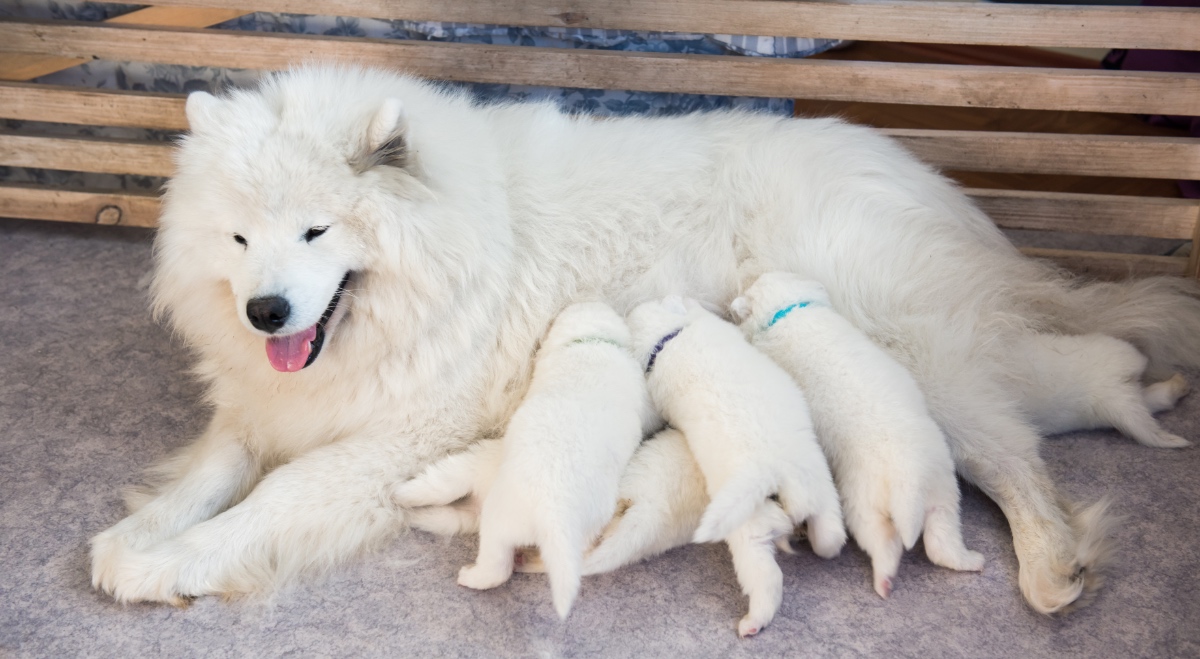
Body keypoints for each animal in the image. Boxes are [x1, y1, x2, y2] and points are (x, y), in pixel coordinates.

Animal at [628, 295, 844, 633]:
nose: (689, 297)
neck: (668, 338)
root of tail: (770, 473)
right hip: (790, 508)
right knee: (804, 555)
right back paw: (754, 621)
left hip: (787, 508)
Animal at [729, 270, 984, 597]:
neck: (789, 308)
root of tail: (908, 487)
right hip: (941, 486)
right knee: (940, 538)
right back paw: (968, 561)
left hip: (864, 499)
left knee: (885, 541)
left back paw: (884, 581)